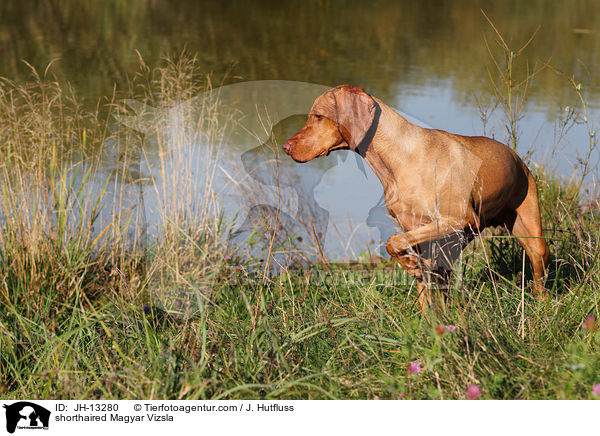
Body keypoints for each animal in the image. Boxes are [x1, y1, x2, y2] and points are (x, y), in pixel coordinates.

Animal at [284, 84, 552, 310]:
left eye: (318, 116)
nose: (286, 147)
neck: (399, 158)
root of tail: (518, 159)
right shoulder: (414, 230)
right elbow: (406, 259)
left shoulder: (457, 219)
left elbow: (392, 242)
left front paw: (411, 268)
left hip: (530, 237)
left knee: (540, 271)